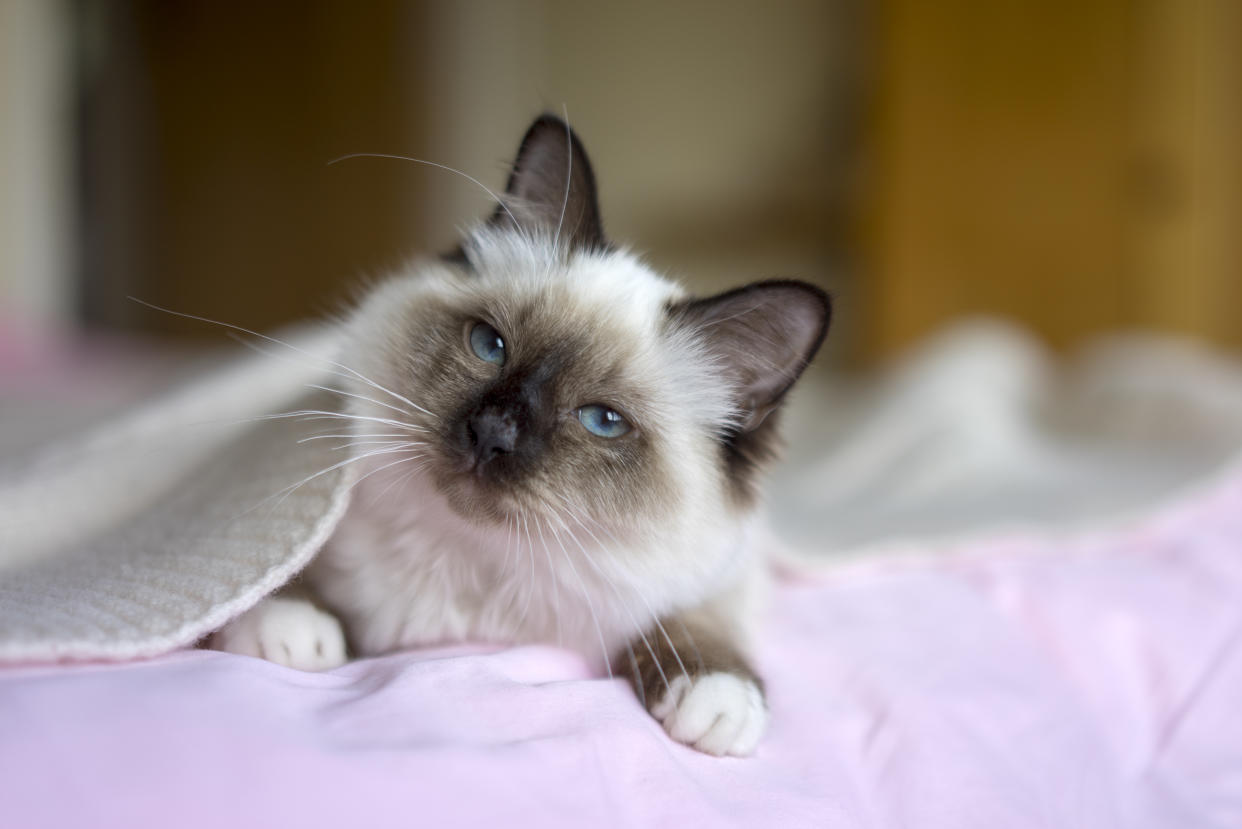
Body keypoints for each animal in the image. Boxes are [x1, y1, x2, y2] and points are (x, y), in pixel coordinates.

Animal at [211, 116, 834, 760]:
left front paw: (718, 701)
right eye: (489, 345)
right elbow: (279, 573)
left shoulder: (721, 578)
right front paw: (289, 626)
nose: (492, 434)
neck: (475, 566)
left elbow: (697, 623)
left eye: (603, 421)